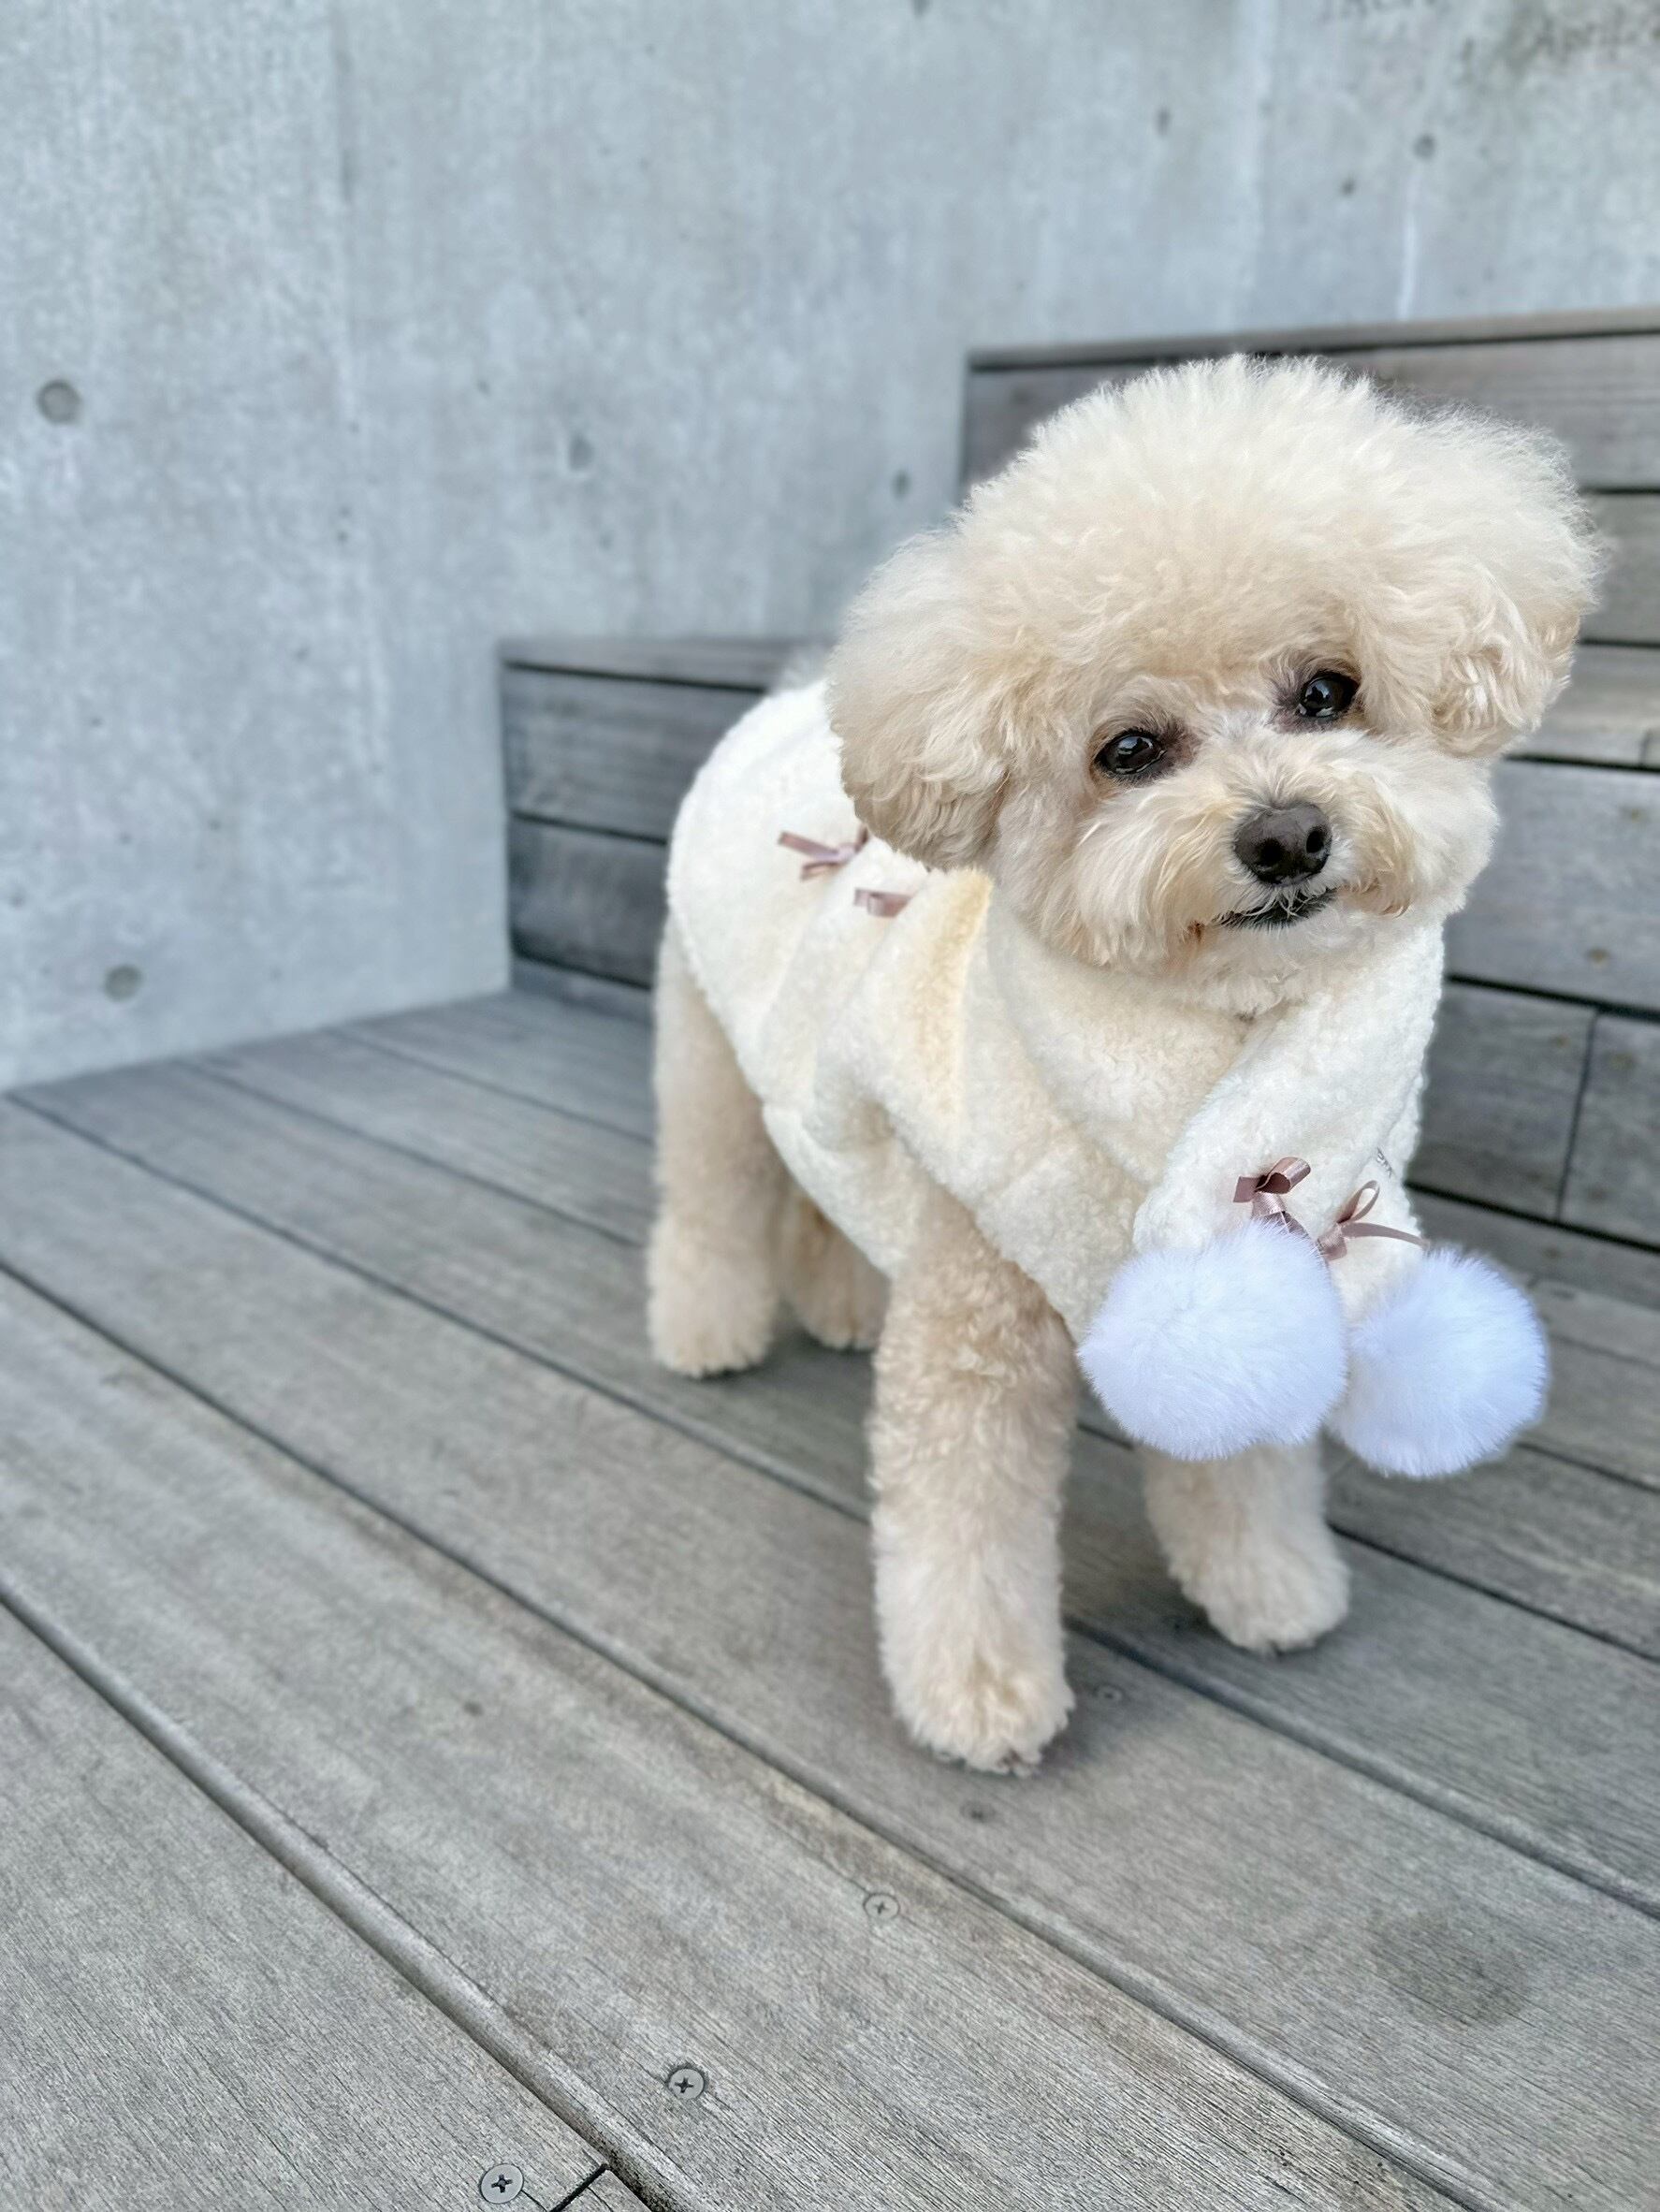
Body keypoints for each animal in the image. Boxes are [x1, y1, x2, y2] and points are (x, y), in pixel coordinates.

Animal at [647, 357, 1598, 1773]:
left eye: (1327, 692)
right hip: (704, 1044)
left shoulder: (1245, 1235)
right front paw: (978, 1696)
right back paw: (705, 1331)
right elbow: (965, 1523)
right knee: (711, 1192)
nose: (1286, 836)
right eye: (1130, 751)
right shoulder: (980, 1328)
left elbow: (1241, 1448)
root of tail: (784, 704)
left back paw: (841, 1300)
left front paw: (1269, 1589)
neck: (1210, 1047)